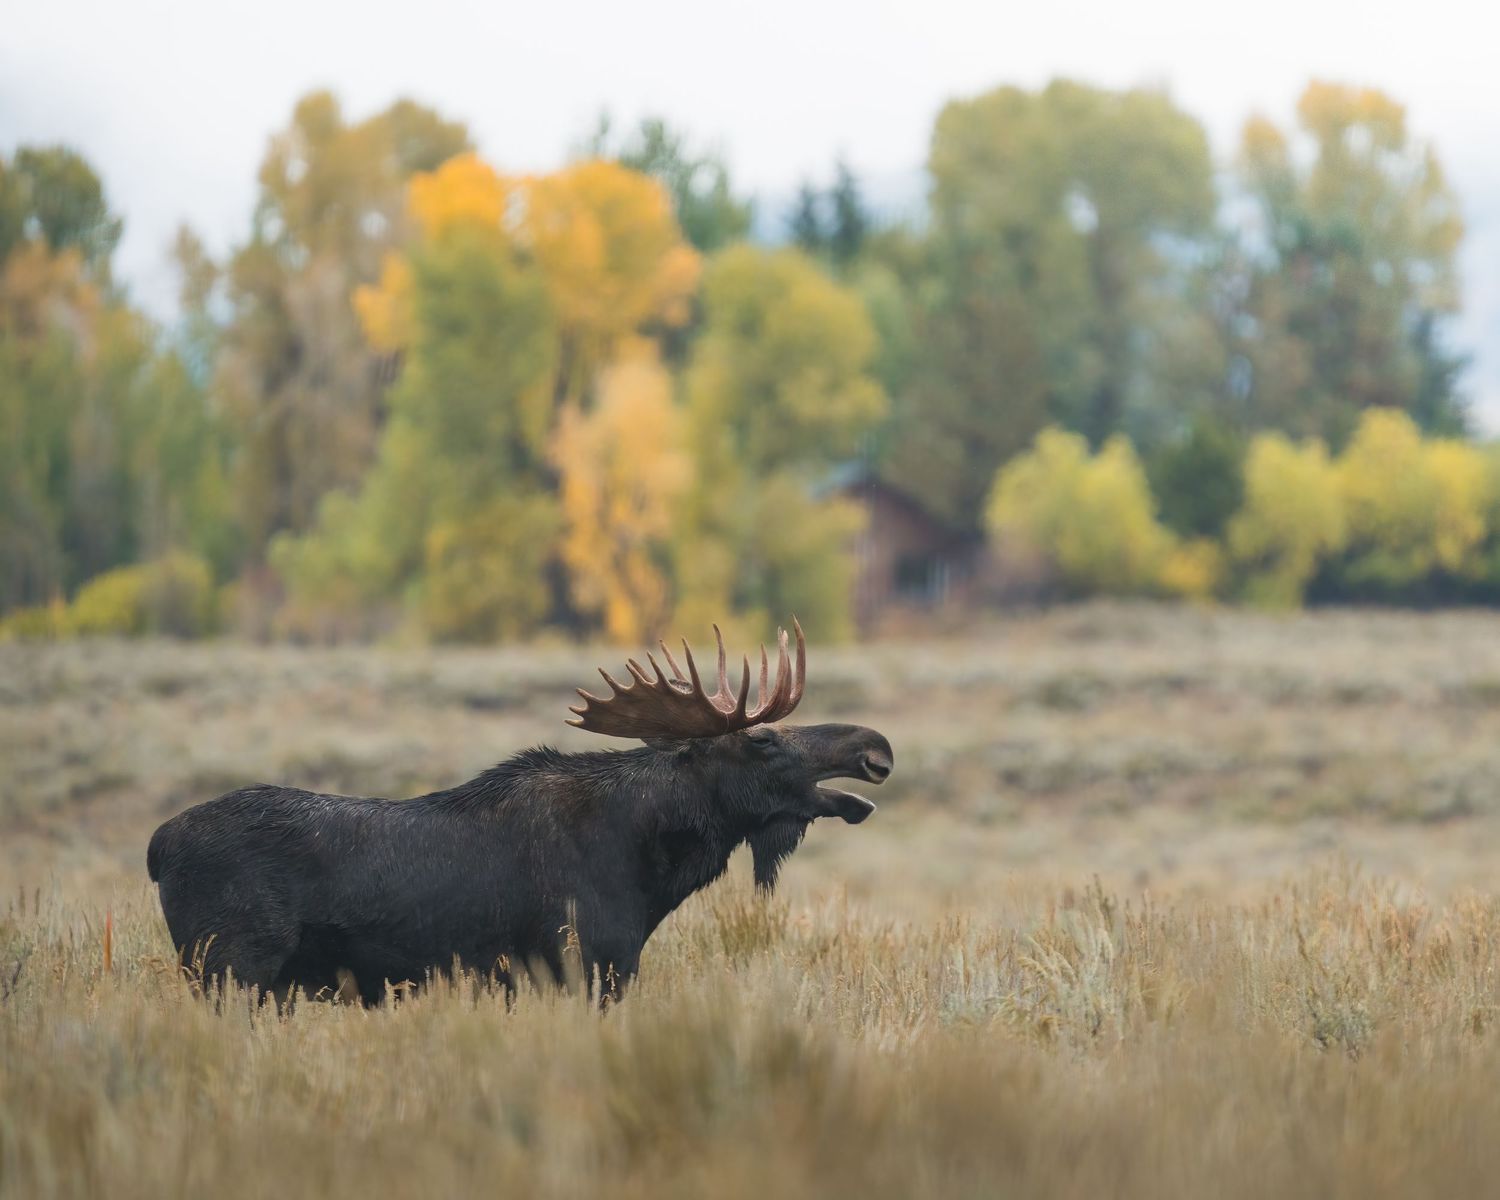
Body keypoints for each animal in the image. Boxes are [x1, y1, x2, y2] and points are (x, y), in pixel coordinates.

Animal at [147, 621, 892, 1005]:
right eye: (762, 739)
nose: (875, 746)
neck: (650, 868)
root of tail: (155, 847)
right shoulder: (583, 964)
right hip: (230, 968)